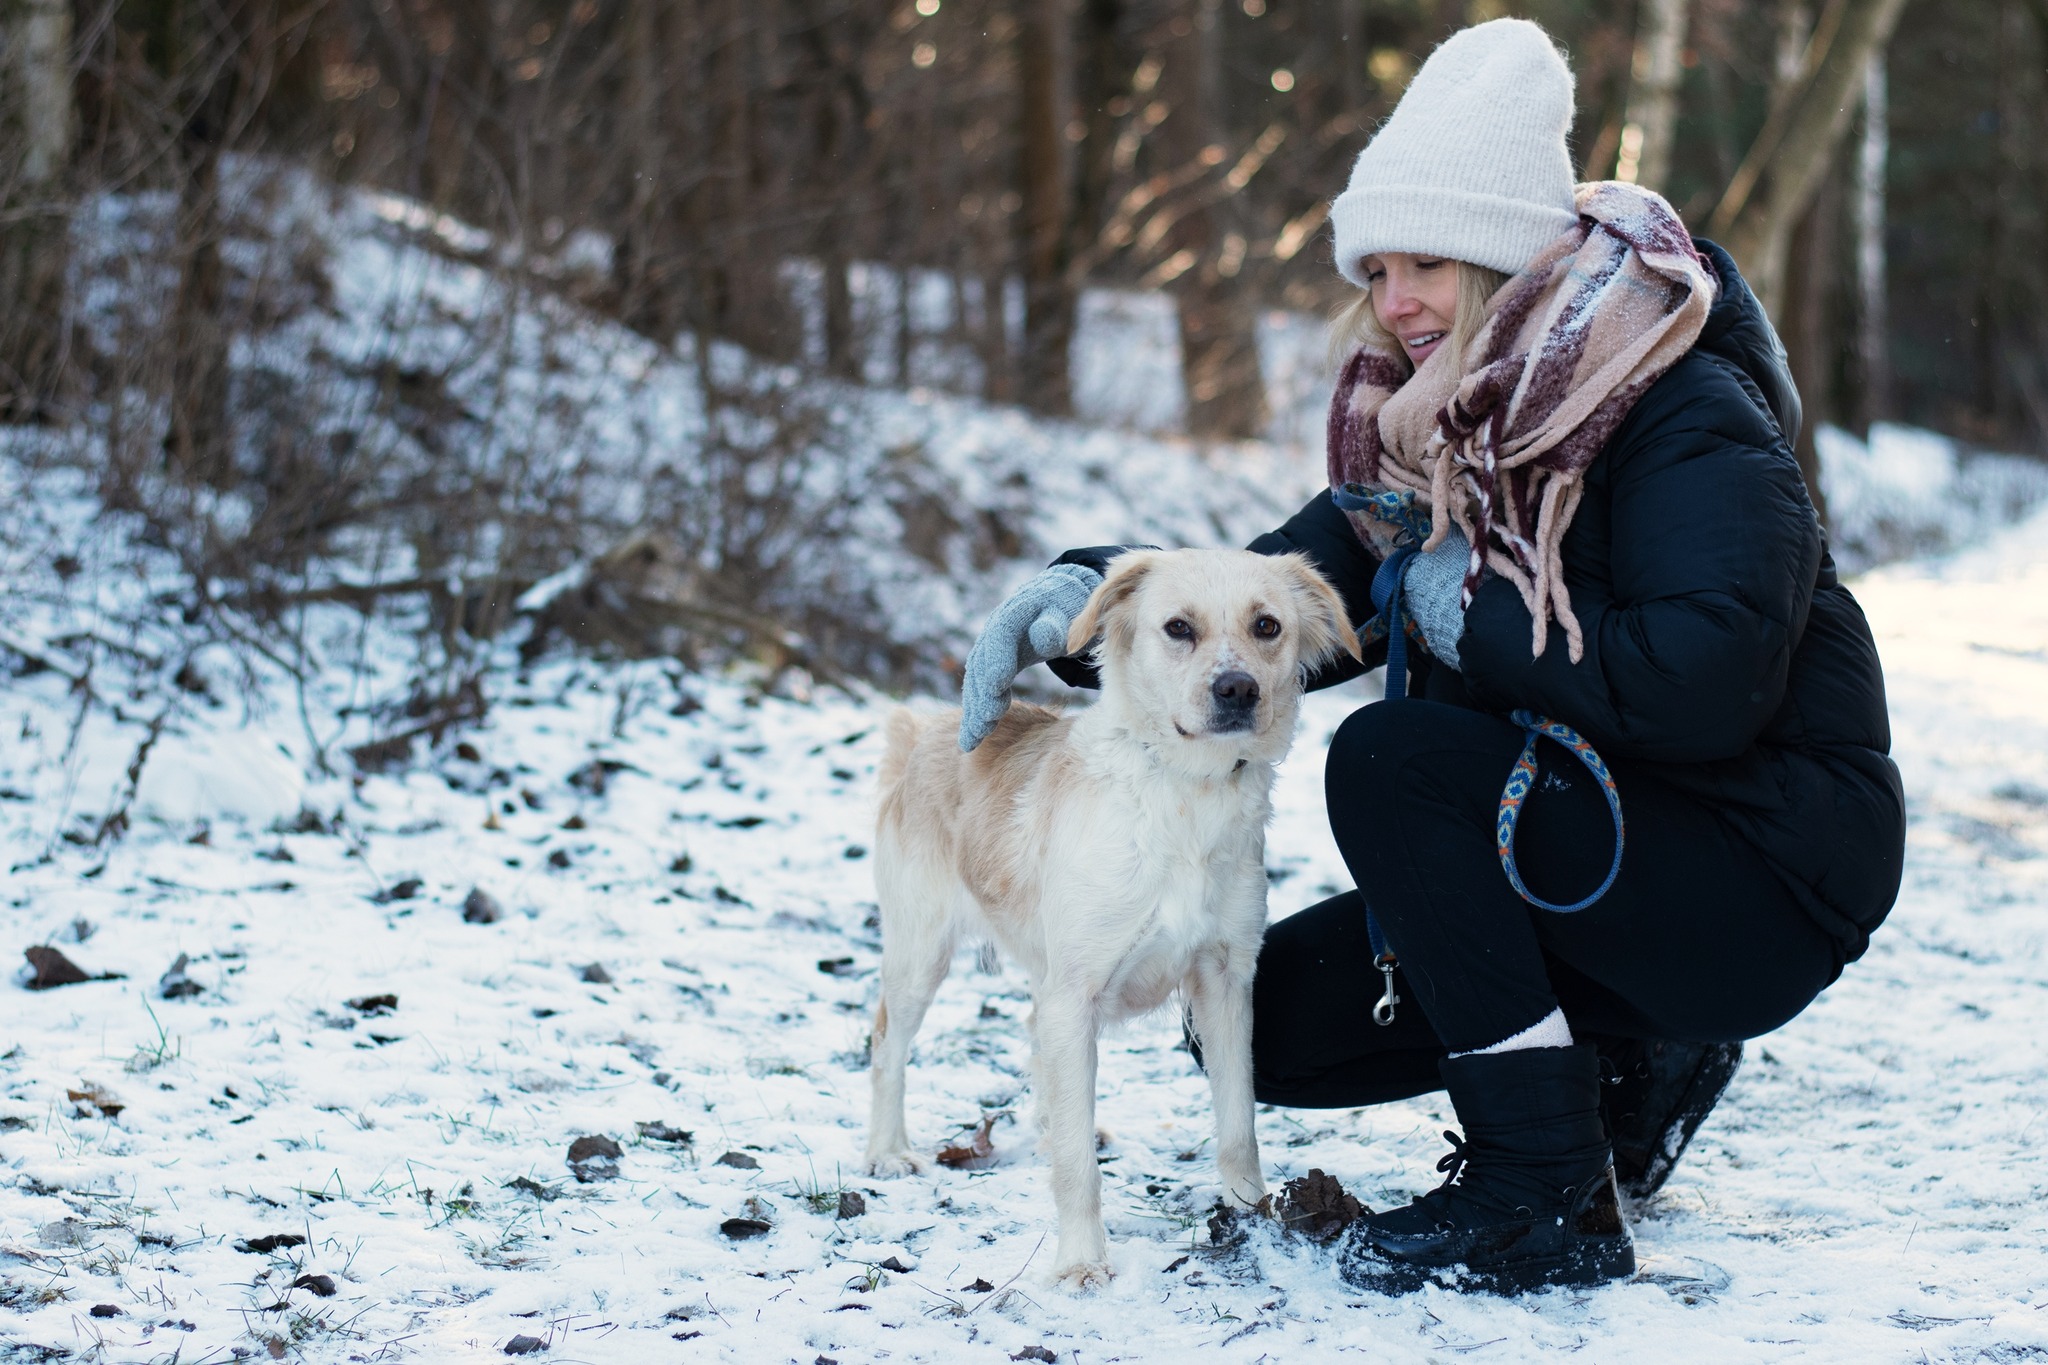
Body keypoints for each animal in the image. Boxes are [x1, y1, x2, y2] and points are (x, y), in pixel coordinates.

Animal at [864, 548, 1359, 1293]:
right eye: (1178, 627)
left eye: (1267, 625)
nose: (1237, 689)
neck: (1186, 795)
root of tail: (926, 731)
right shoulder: (1076, 989)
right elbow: (1076, 1169)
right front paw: (1080, 1261)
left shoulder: (1225, 980)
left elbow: (1238, 1122)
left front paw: (1252, 1217)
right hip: (922, 953)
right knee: (887, 1042)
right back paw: (889, 1150)